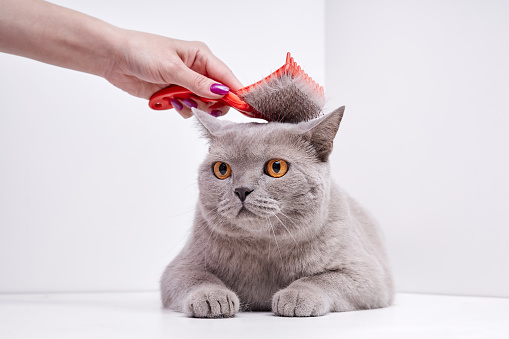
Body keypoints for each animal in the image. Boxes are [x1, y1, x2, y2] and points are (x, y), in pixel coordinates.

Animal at [159, 107, 392, 318]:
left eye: (276, 167)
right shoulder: (180, 266)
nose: (241, 190)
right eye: (222, 169)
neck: (264, 247)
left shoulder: (368, 272)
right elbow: (198, 278)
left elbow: (320, 278)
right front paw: (211, 298)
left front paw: (296, 297)